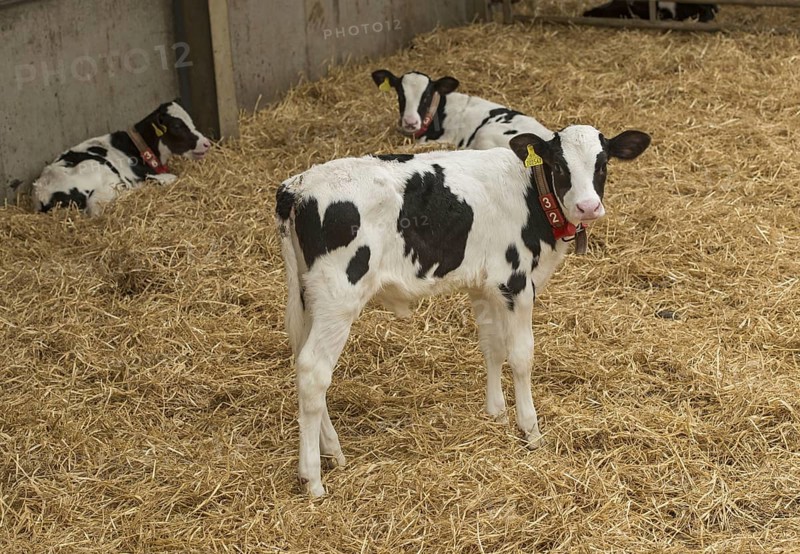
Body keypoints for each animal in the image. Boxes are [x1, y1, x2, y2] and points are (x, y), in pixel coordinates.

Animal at [31, 100, 211, 216]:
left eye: (190, 120)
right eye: (177, 126)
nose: (206, 143)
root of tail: (42, 190)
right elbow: (171, 177)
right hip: (98, 171)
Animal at [276, 124, 651, 496]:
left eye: (602, 164)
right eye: (559, 166)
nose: (588, 207)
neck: (530, 192)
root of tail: (298, 186)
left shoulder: (484, 286)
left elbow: (492, 347)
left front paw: (496, 413)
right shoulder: (515, 283)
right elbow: (521, 356)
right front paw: (530, 430)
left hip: (310, 298)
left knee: (303, 363)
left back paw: (333, 451)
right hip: (338, 296)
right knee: (313, 371)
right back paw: (313, 479)